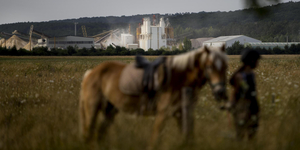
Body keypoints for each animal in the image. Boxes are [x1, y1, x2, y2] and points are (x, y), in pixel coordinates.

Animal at [79, 45, 227, 148]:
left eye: (225, 66)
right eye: (209, 66)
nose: (221, 92)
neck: (179, 78)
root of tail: (91, 73)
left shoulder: (182, 112)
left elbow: (188, 138)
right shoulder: (163, 113)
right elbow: (155, 139)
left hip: (110, 111)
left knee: (99, 134)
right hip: (92, 109)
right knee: (88, 134)